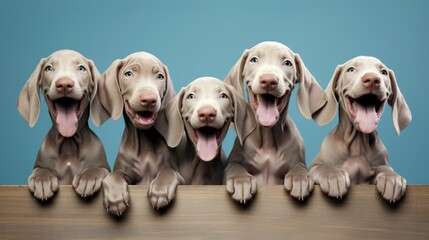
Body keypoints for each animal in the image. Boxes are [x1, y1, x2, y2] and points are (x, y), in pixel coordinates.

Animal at [17, 49, 109, 202]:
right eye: (49, 68)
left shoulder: (104, 167)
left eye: (81, 68)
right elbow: (40, 170)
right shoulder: (40, 165)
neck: (68, 143)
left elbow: (98, 169)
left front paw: (88, 177)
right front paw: (42, 180)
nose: (64, 84)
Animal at [91, 51, 176, 215]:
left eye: (160, 76)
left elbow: (168, 171)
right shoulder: (125, 172)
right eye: (129, 74)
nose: (149, 99)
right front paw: (116, 197)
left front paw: (160, 191)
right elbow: (113, 175)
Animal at [150, 77, 251, 206]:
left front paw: (241, 179)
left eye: (223, 96)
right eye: (191, 96)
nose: (207, 113)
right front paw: (161, 187)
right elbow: (168, 170)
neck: (203, 166)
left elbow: (234, 166)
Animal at [224, 41, 324, 202]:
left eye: (287, 63)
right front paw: (240, 181)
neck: (268, 140)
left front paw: (299, 178)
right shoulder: (233, 160)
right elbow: (234, 166)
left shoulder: (298, 161)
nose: (268, 81)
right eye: (254, 60)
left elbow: (299, 167)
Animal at [310, 56, 412, 202]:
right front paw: (333, 177)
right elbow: (324, 166)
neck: (357, 144)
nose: (372, 80)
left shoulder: (379, 165)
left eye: (384, 72)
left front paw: (391, 178)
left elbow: (385, 168)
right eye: (351, 69)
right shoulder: (313, 166)